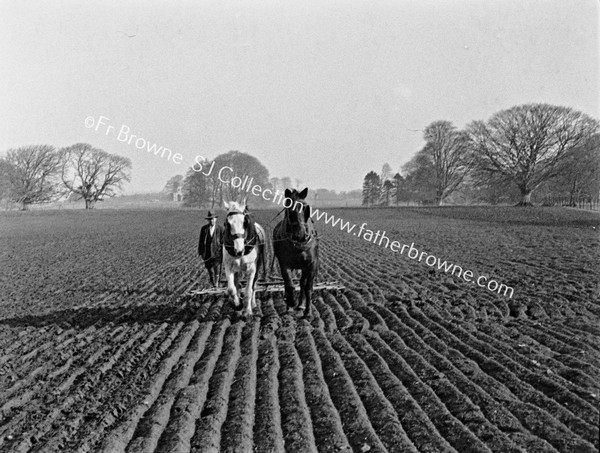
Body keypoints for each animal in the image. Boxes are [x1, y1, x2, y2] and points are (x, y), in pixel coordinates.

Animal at [272, 187, 318, 318]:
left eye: (306, 208)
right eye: (289, 209)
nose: (300, 234)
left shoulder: (311, 264)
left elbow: (308, 287)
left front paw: (308, 311)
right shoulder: (285, 264)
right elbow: (290, 285)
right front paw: (292, 301)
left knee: (302, 283)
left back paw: (301, 305)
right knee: (289, 284)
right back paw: (290, 306)